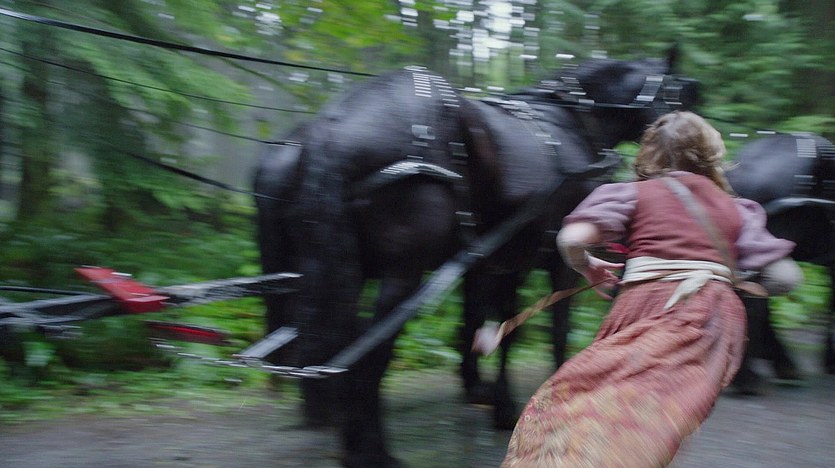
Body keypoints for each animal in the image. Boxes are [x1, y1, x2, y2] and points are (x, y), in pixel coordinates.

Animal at [253, 49, 699, 467]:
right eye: (677, 94)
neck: (572, 122)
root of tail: (332, 125)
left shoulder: (505, 259)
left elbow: (500, 328)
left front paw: (497, 402)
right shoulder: (558, 261)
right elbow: (553, 330)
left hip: (344, 270)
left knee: (341, 345)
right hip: (402, 274)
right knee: (369, 352)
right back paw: (372, 452)